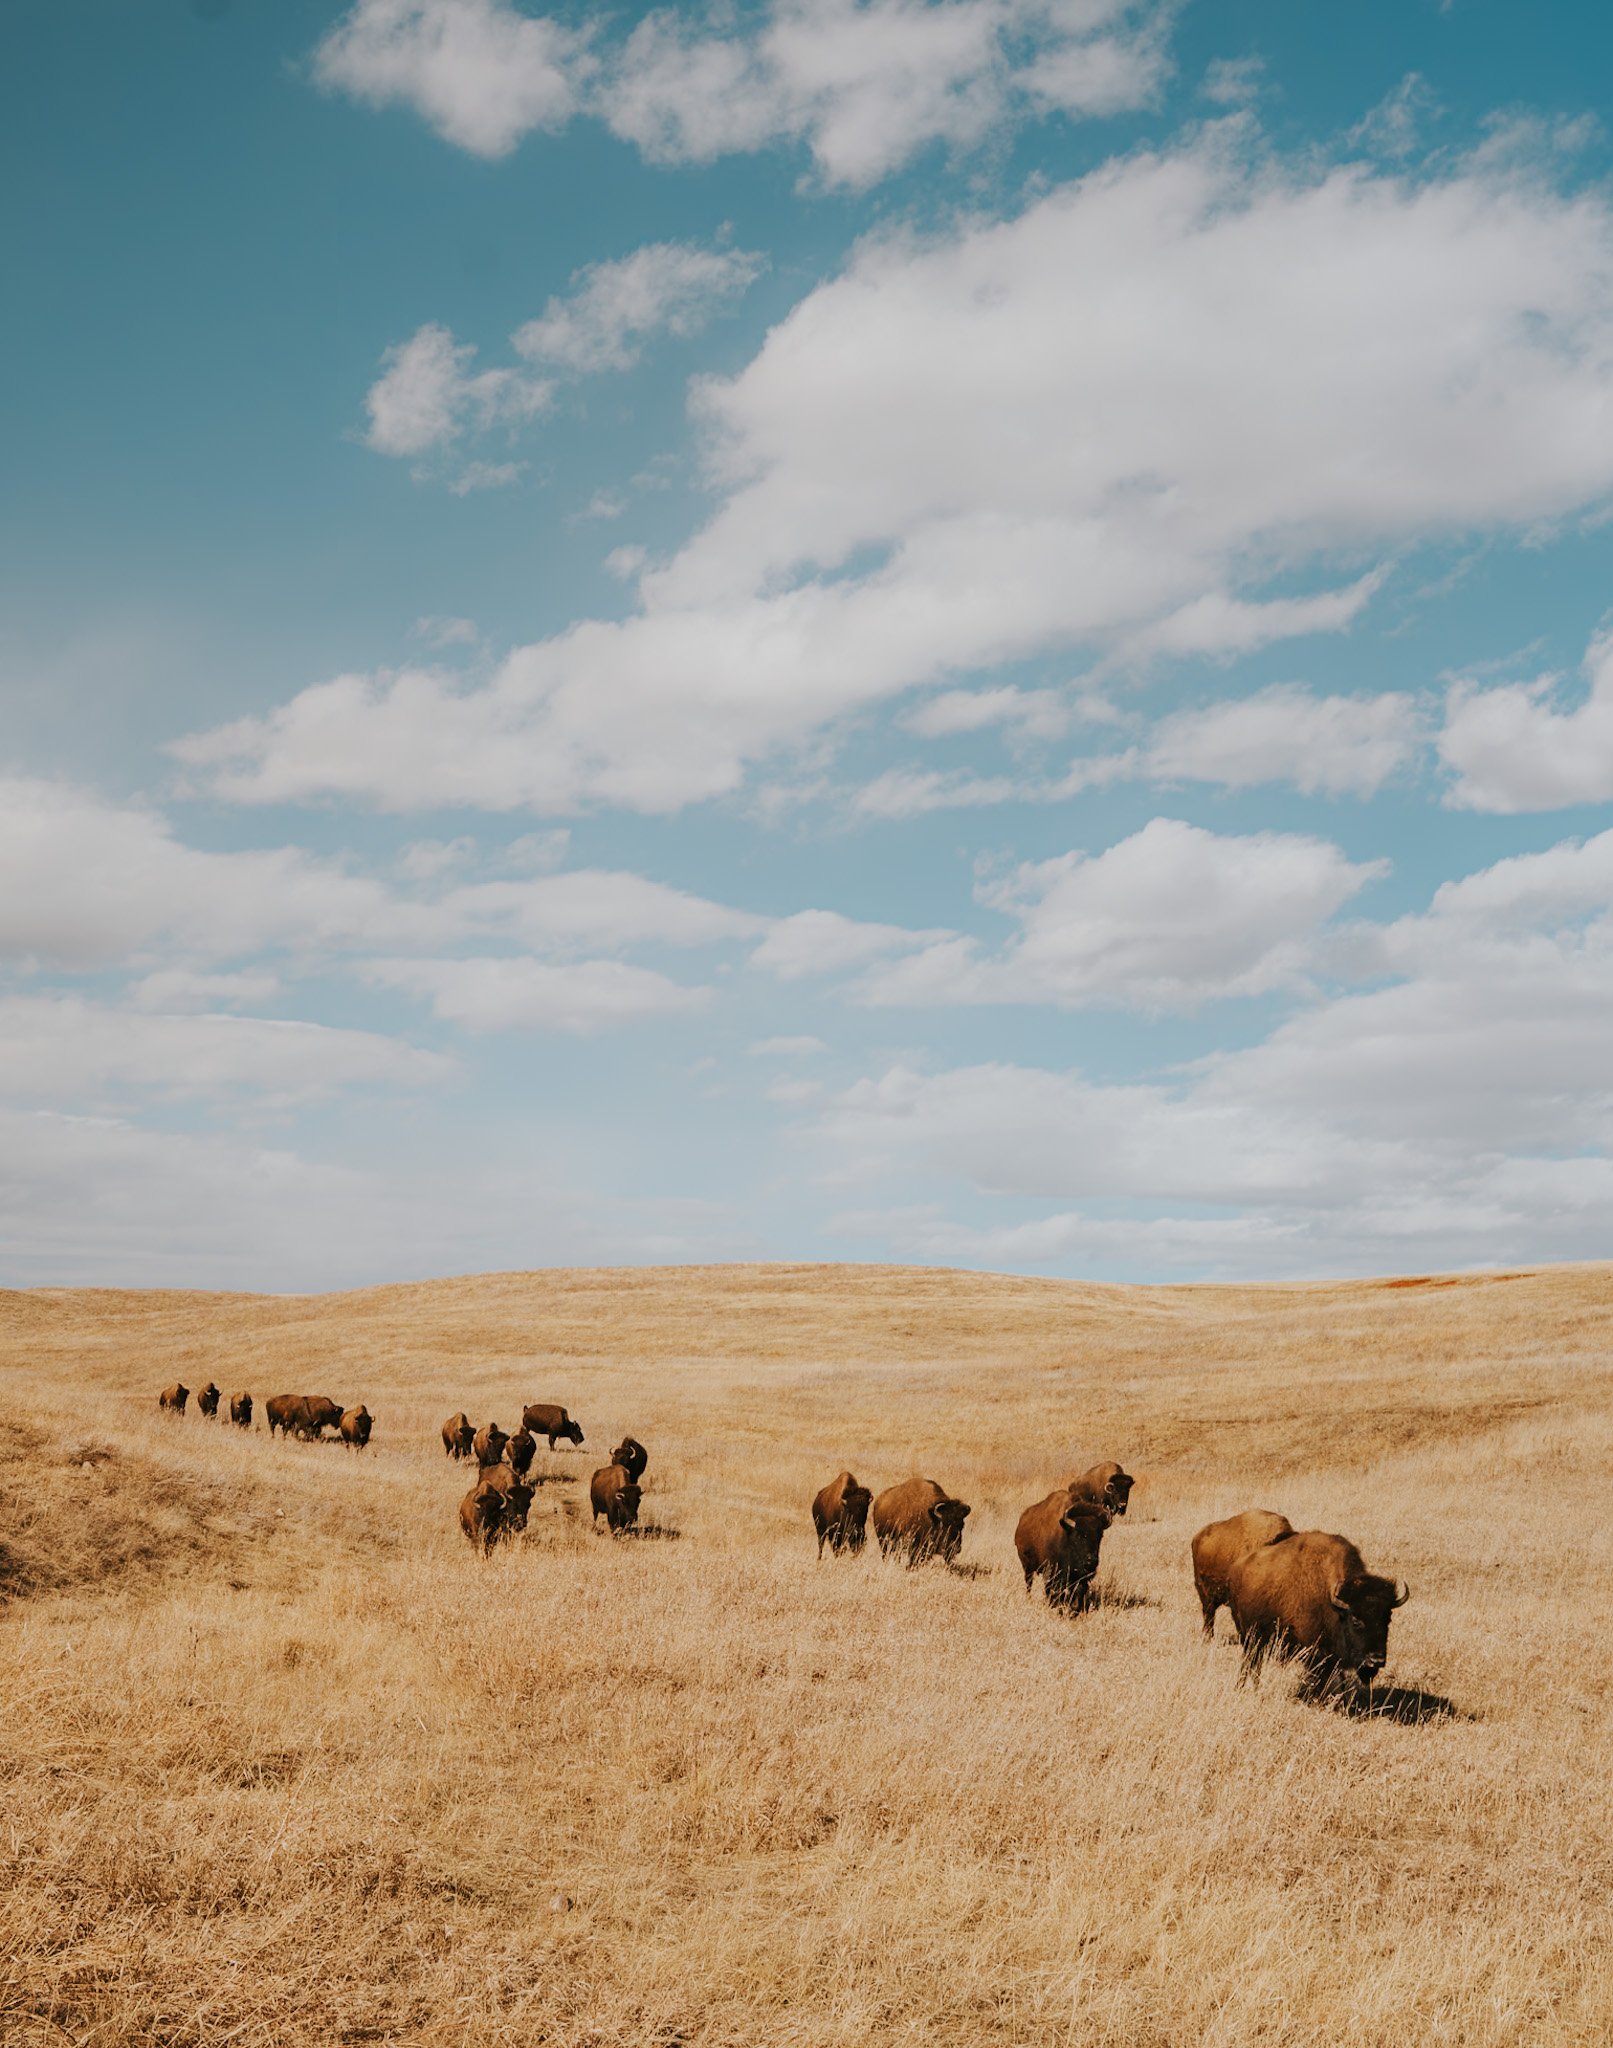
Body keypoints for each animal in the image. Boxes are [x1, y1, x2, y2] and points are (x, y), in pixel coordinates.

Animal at [1227, 1529, 1409, 1697]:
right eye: (1355, 1620)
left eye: (1388, 1619)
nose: (1376, 1660)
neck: (1331, 1600)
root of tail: (1238, 1566)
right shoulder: (1316, 1652)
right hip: (1249, 1637)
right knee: (1250, 1663)